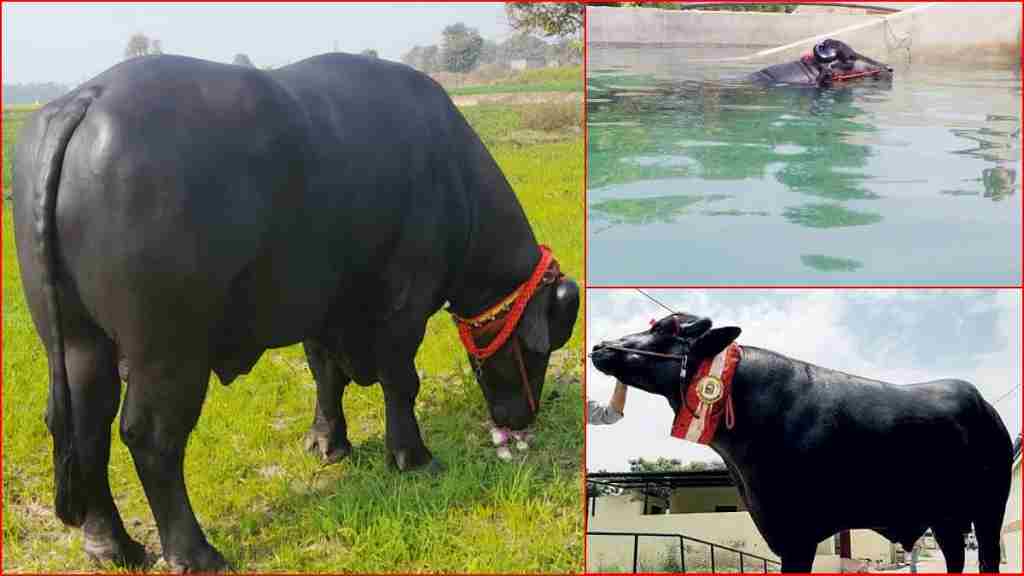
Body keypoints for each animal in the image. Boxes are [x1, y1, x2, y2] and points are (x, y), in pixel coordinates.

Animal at [12, 53, 579, 571]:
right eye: (540, 348)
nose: (521, 417)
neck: (453, 175)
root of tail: (87, 99)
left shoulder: (319, 306)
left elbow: (324, 374)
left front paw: (329, 442)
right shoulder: (405, 304)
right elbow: (401, 382)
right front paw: (412, 456)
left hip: (79, 341)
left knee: (81, 426)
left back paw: (112, 545)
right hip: (169, 351)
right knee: (150, 437)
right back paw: (194, 553)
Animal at [591, 312, 1011, 573]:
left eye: (666, 329)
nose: (600, 346)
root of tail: (984, 406)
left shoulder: (797, 532)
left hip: (989, 506)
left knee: (987, 557)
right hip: (946, 517)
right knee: (956, 557)